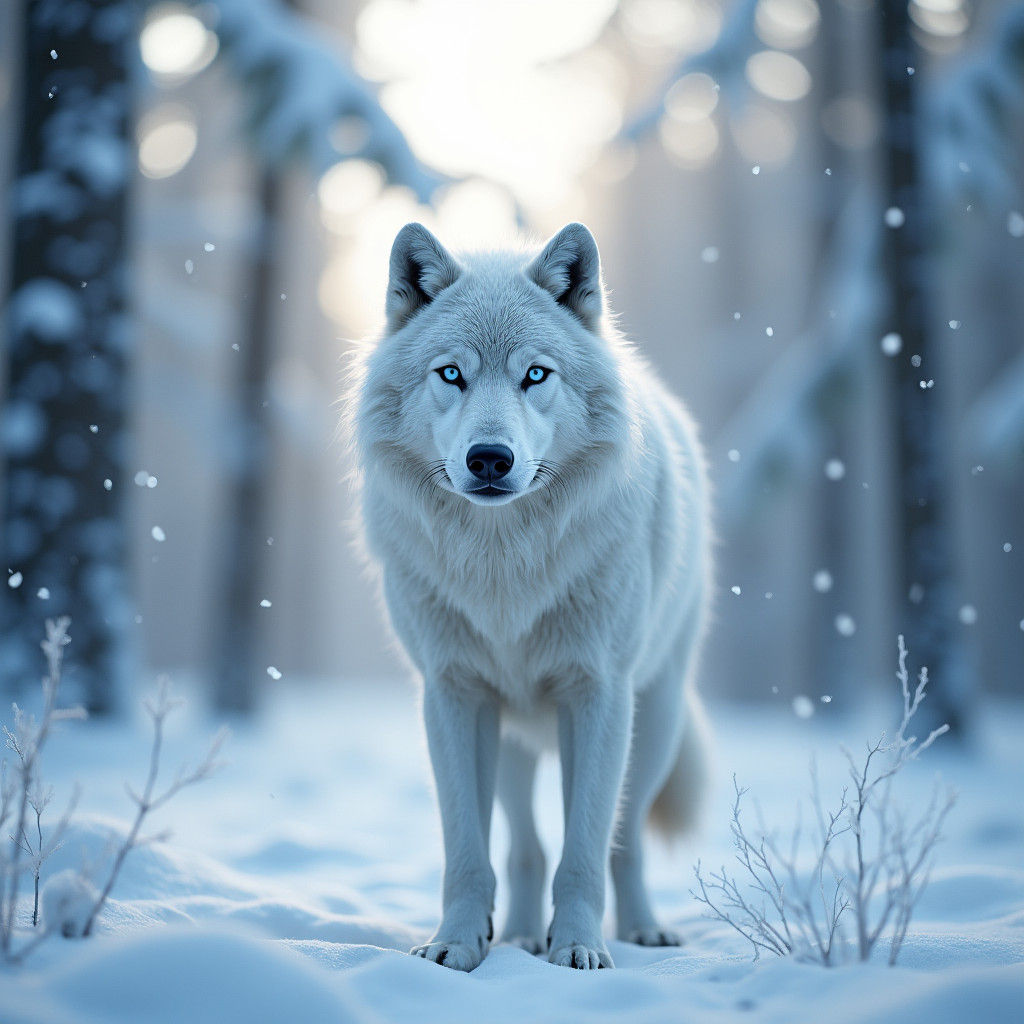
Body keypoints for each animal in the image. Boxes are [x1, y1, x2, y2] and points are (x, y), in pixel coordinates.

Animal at [351, 221, 712, 971]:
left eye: (535, 374)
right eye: (451, 374)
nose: (490, 458)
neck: (503, 569)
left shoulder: (599, 694)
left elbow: (586, 851)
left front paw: (578, 950)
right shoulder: (453, 695)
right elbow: (468, 850)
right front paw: (457, 945)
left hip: (654, 720)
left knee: (624, 841)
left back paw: (641, 931)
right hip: (513, 735)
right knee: (525, 847)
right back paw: (516, 934)